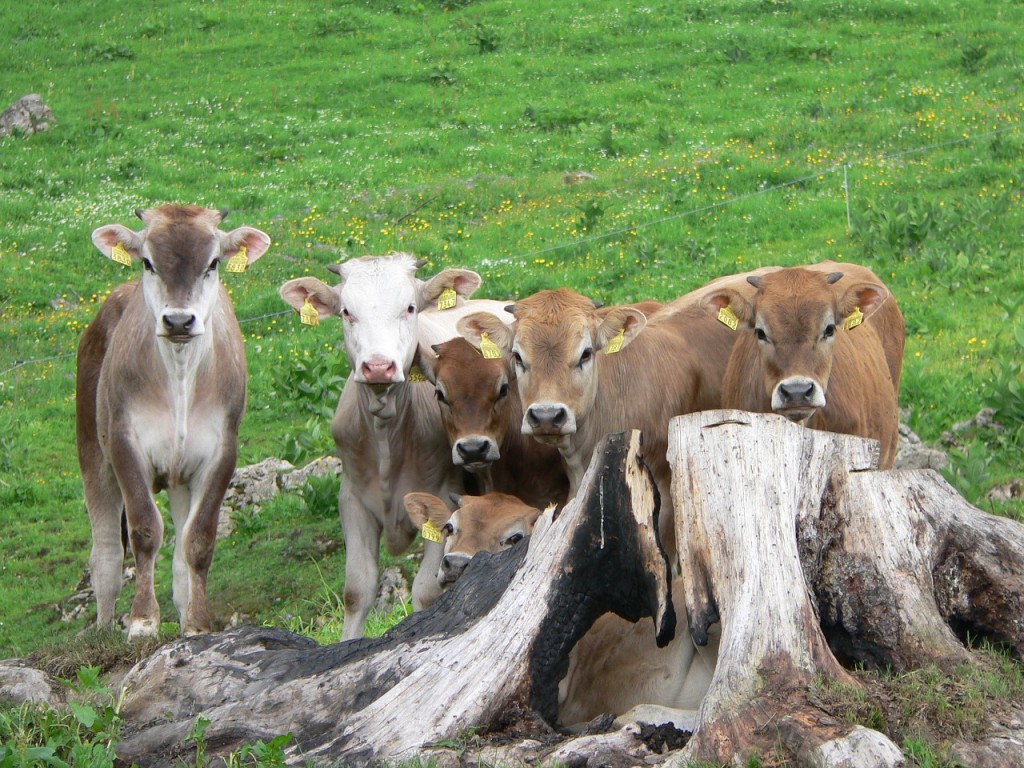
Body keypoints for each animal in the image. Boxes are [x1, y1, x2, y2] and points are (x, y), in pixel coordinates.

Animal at [76, 202, 270, 638]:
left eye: (213, 263)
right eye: (148, 262)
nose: (179, 321)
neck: (180, 380)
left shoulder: (221, 452)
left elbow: (198, 540)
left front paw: (197, 625)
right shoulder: (124, 442)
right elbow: (145, 530)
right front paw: (142, 622)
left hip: (181, 475)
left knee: (181, 549)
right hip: (91, 448)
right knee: (106, 551)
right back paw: (103, 628)